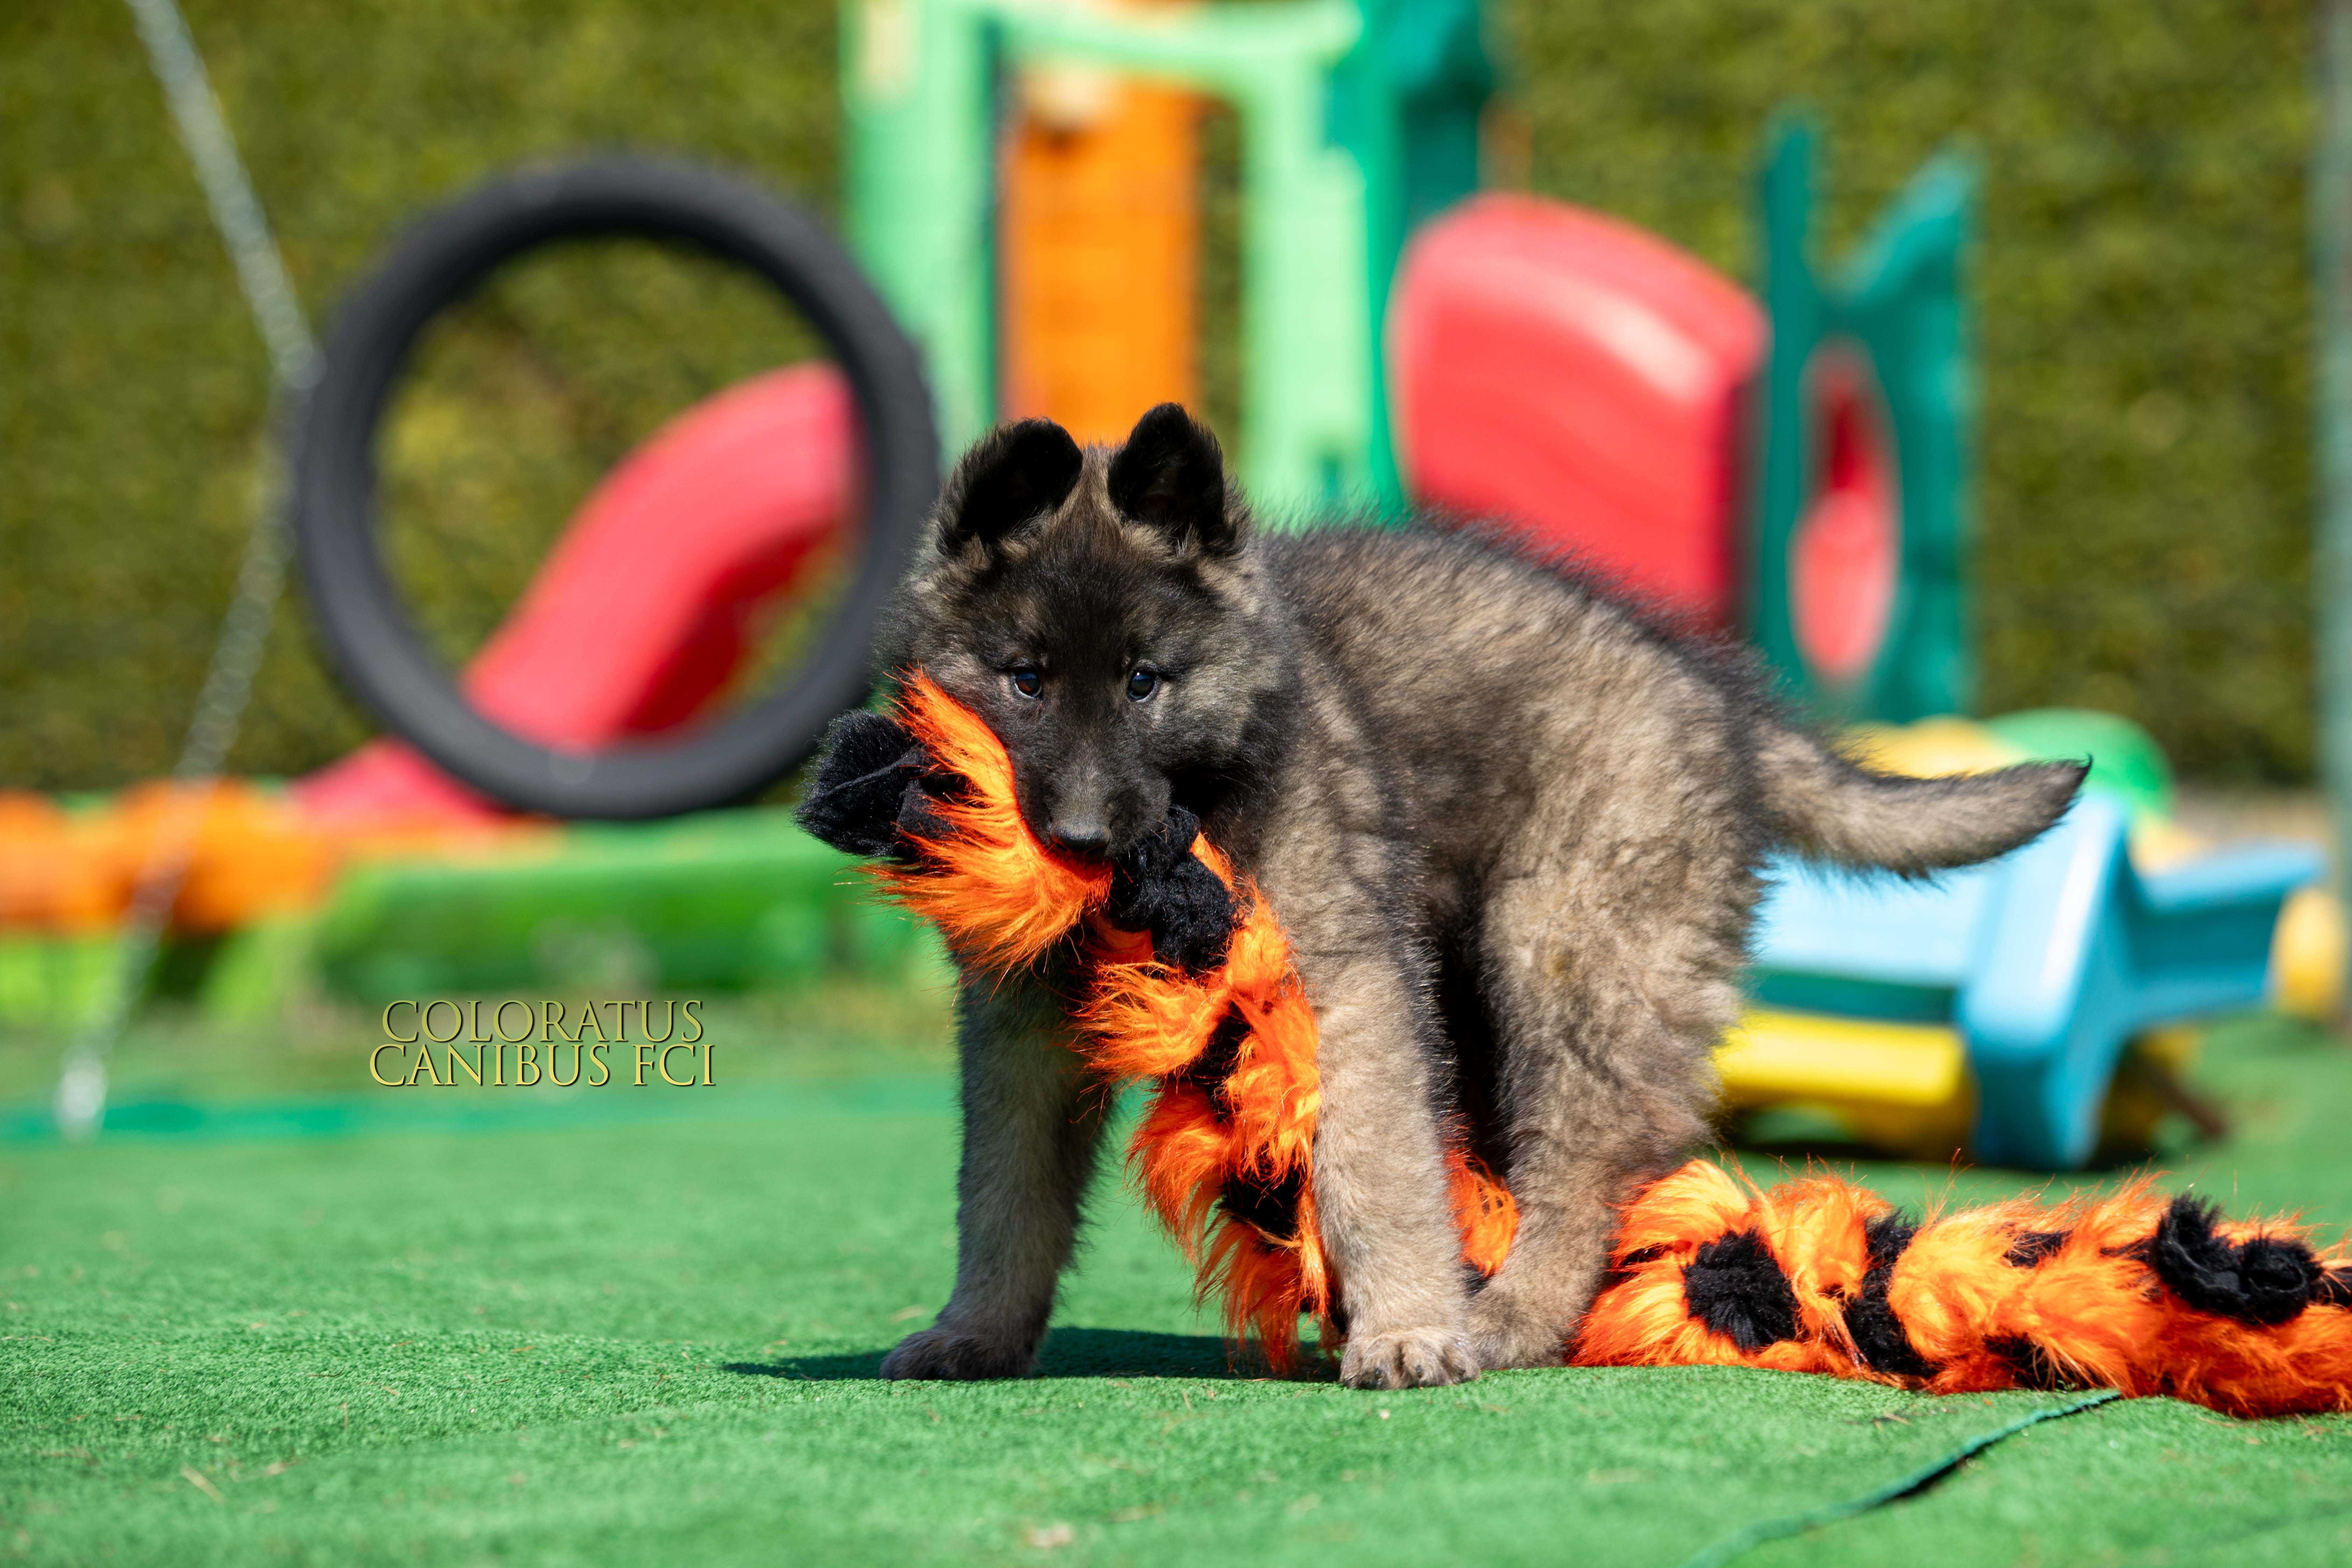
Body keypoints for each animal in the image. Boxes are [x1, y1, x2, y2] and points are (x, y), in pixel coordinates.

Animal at [865, 402, 2079, 1382]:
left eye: (1143, 682)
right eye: (1025, 680)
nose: (1077, 841)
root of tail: (1719, 708)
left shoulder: (1344, 986)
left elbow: (1377, 1163)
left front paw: (1409, 1327)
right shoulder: (1020, 1020)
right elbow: (1004, 1189)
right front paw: (976, 1332)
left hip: (1567, 960)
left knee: (1581, 1175)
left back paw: (1508, 1316)